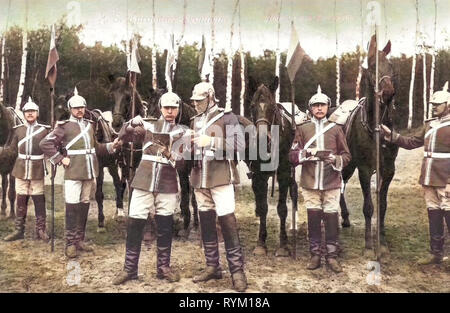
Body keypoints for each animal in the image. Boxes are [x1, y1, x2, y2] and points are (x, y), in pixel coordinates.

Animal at [244, 78, 304, 256]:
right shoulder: (258, 176)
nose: (263, 137)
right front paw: (261, 243)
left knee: (294, 192)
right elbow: (263, 207)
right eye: (252, 106)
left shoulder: (284, 174)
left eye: (272, 107)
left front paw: (283, 245)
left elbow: (282, 208)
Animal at [340, 35, 400, 252]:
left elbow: (382, 205)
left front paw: (382, 239)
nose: (388, 93)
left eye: (390, 65)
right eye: (373, 66)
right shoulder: (364, 169)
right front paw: (368, 243)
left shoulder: (388, 170)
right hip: (347, 165)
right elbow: (368, 207)